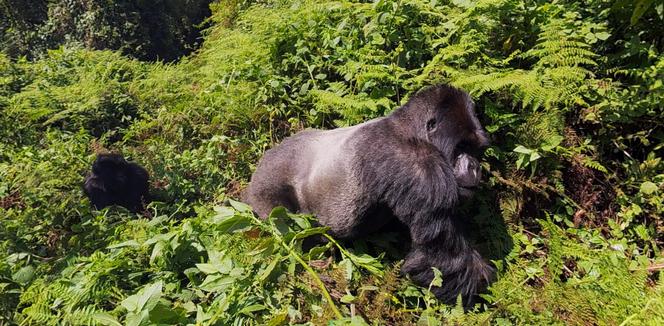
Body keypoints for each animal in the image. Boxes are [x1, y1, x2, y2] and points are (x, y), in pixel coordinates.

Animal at [244, 84, 492, 306]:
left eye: (476, 149)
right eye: (461, 147)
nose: (475, 167)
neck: (410, 130)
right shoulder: (420, 165)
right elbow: (440, 254)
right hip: (264, 192)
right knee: (286, 229)